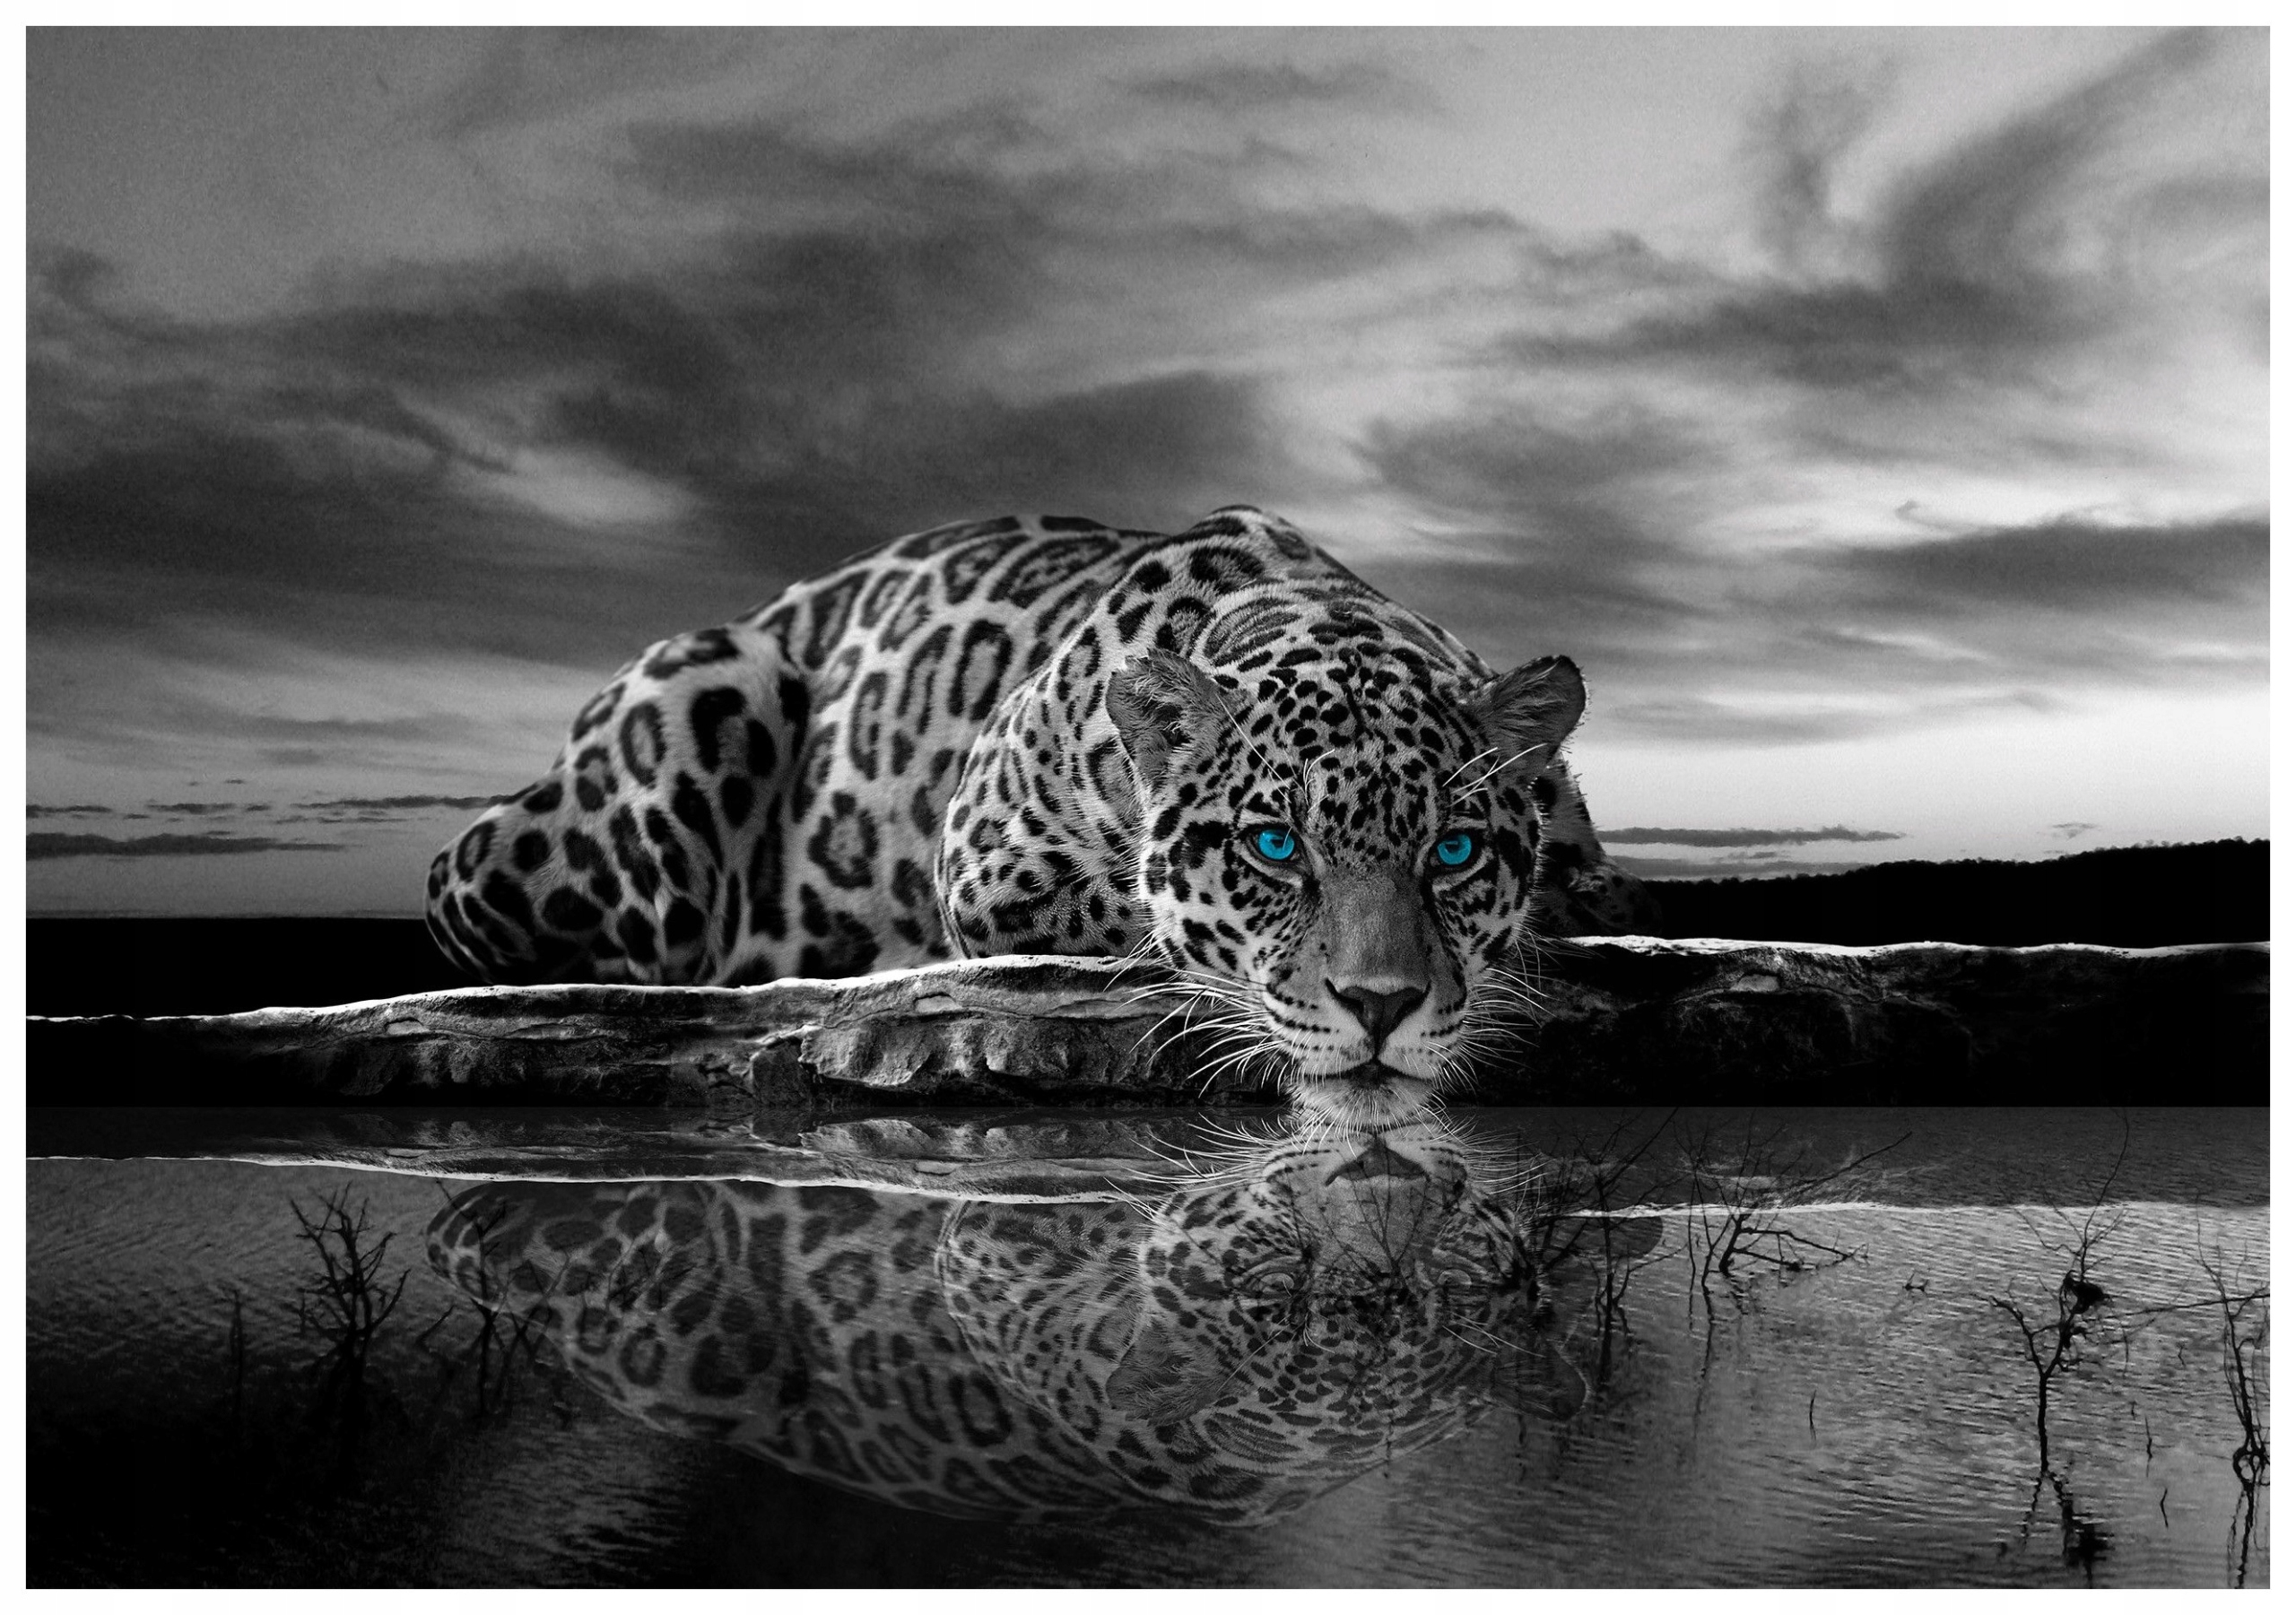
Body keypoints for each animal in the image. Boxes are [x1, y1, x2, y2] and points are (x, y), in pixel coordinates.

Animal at [427, 506, 1659, 1125]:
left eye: (1451, 851)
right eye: (1273, 846)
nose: (1381, 1007)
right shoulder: (987, 866)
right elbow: (1148, 924)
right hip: (699, 691)